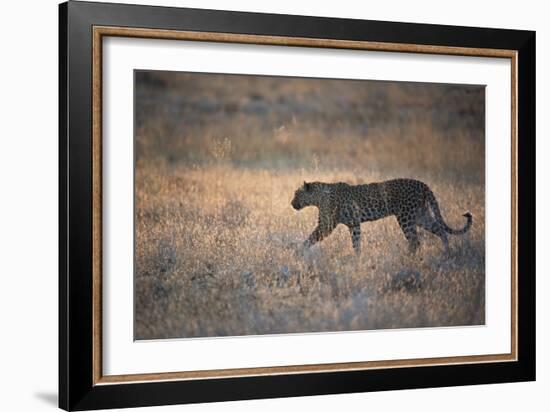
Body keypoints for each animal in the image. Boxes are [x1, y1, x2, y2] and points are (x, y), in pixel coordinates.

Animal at [294, 179, 474, 256]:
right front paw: (357, 258)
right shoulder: (354, 225)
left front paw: (299, 251)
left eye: (296, 194)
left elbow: (311, 237)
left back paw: (407, 258)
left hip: (406, 216)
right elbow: (356, 243)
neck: (318, 196)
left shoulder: (326, 225)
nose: (291, 203)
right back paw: (447, 252)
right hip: (421, 215)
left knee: (415, 240)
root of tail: (423, 184)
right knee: (440, 231)